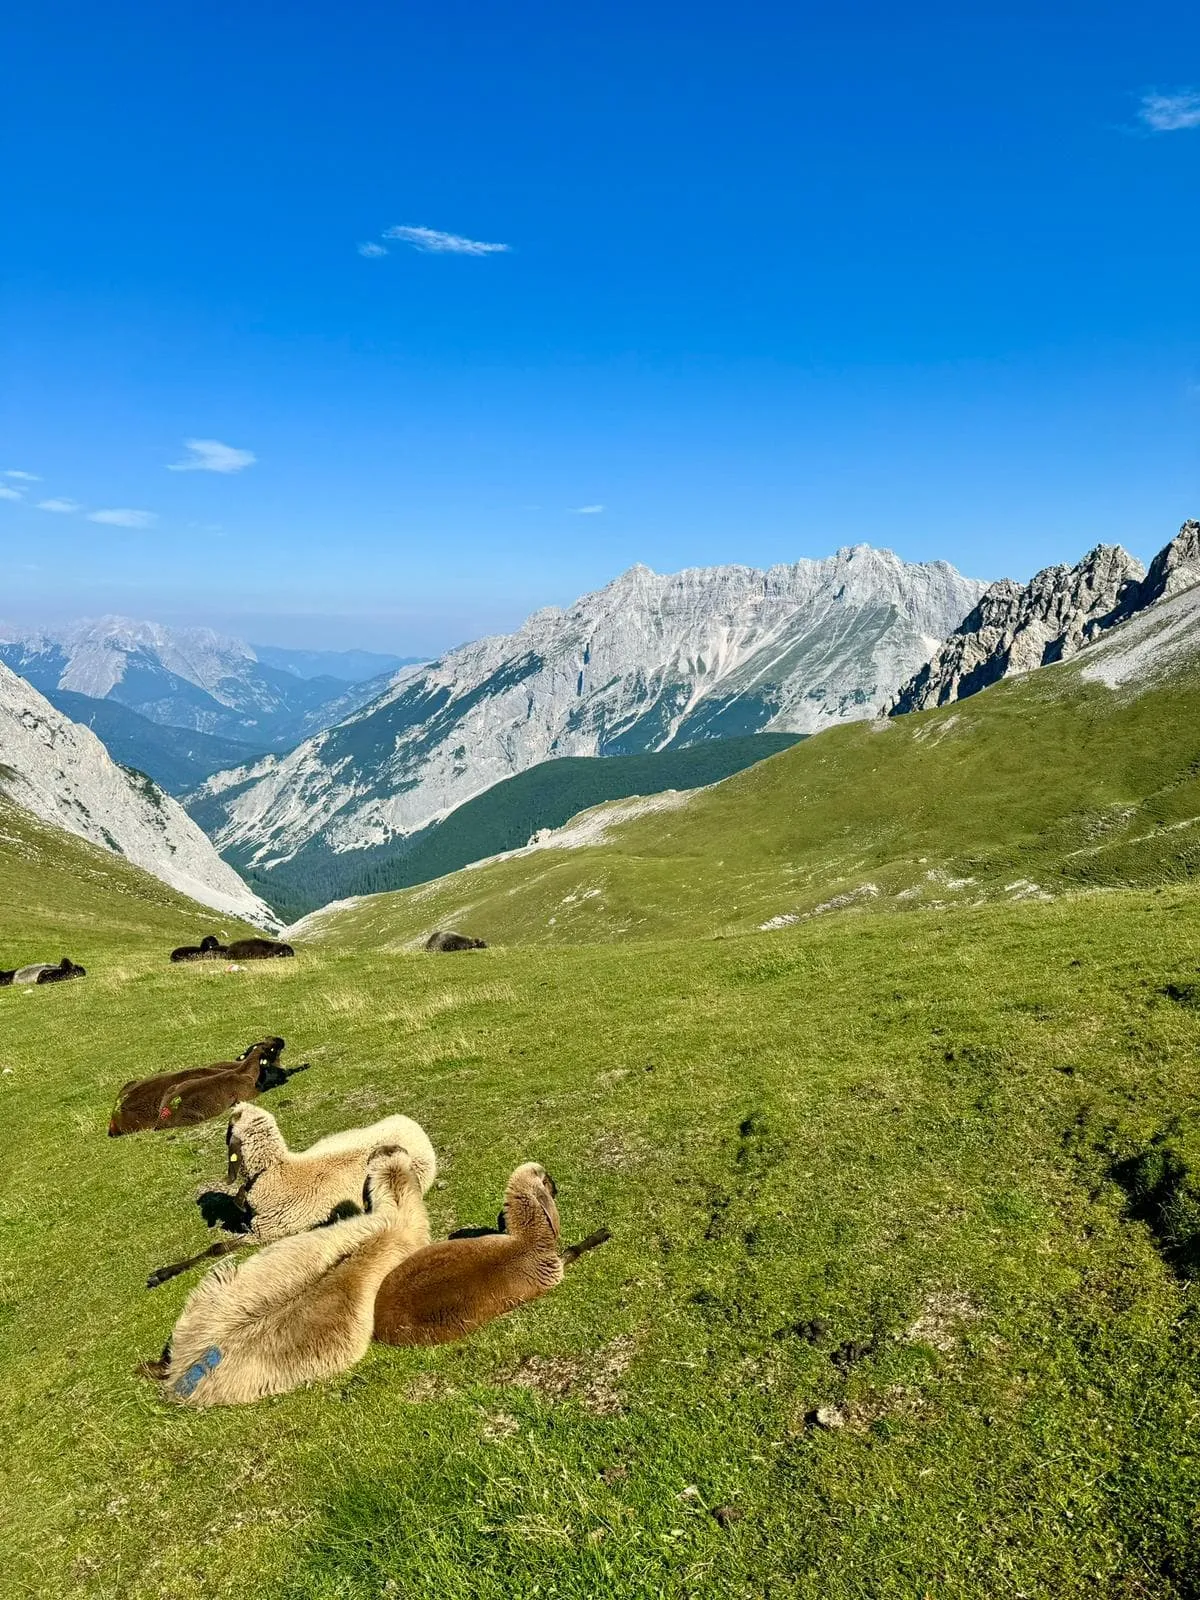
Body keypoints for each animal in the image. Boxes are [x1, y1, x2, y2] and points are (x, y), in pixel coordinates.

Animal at [145, 1100, 438, 1286]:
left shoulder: (264, 1233)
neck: (276, 1172)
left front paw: (162, 1274)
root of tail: (411, 1124)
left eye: (229, 1128)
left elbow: (216, 1248)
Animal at [374, 1164, 611, 1350]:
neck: (529, 1240)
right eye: (548, 1181)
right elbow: (574, 1250)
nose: (558, 1189)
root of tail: (379, 1320)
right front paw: (602, 1233)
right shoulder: (554, 1269)